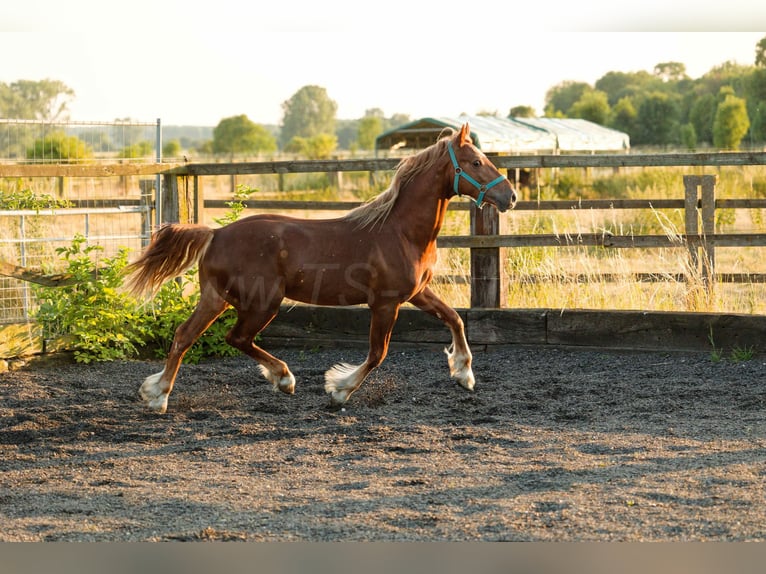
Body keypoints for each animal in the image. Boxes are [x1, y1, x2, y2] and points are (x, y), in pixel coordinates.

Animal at [125, 123, 516, 414]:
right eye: (476, 162)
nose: (510, 196)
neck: (400, 231)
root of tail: (216, 233)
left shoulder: (417, 293)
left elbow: (455, 318)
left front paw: (464, 374)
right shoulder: (385, 303)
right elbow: (378, 354)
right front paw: (339, 389)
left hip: (215, 298)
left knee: (184, 336)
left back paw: (158, 395)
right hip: (262, 303)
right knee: (235, 338)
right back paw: (283, 379)